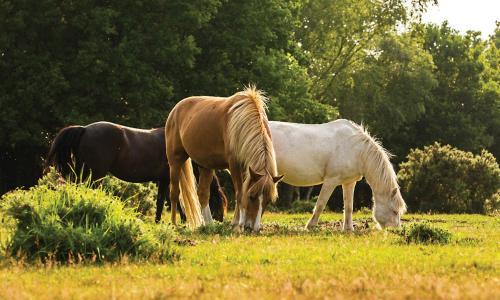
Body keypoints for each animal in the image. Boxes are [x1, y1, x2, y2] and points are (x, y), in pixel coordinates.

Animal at [46, 122, 227, 223]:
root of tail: (84, 129)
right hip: (94, 174)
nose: (220, 220)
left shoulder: (164, 180)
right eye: (217, 202)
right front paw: (168, 221)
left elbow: (167, 200)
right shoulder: (165, 179)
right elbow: (166, 200)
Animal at [166, 85, 284, 231]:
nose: (253, 228)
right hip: (175, 161)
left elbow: (240, 191)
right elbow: (240, 193)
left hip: (205, 166)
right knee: (174, 193)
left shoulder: (245, 168)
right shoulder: (235, 165)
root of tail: (176, 109)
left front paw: (236, 223)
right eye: (252, 196)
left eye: (268, 201)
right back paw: (173, 224)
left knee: (203, 193)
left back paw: (209, 224)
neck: (243, 122)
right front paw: (238, 224)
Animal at [270, 119, 406, 230]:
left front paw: (348, 229)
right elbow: (320, 204)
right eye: (395, 211)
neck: (357, 150)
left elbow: (349, 206)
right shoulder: (331, 181)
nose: (396, 230)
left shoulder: (349, 182)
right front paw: (310, 226)